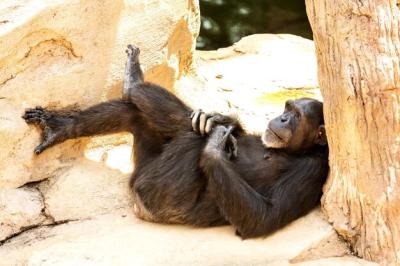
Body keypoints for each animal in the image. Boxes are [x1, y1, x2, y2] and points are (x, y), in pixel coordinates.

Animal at [22, 44, 328, 239]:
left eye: (296, 115)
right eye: (287, 108)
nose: (283, 118)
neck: (294, 150)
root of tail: (138, 205)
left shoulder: (313, 171)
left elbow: (265, 217)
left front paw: (216, 141)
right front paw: (223, 119)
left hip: (160, 199)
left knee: (191, 138)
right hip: (144, 165)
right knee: (136, 113)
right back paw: (65, 124)